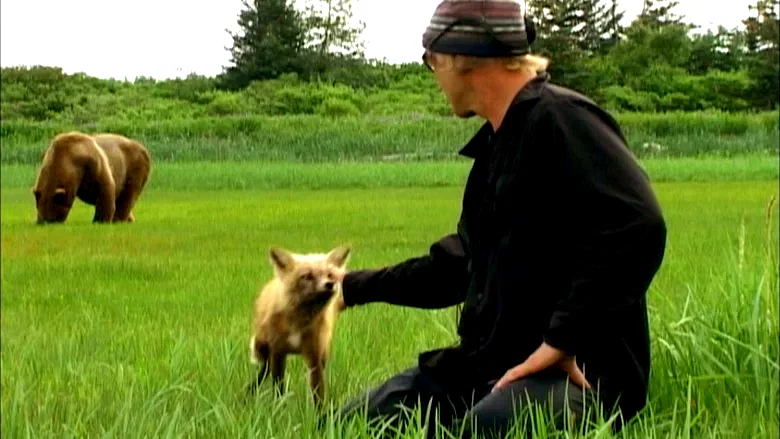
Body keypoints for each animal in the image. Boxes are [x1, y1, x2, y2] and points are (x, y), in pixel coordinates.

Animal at [247, 245, 351, 409]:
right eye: (307, 276)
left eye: (329, 275)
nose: (329, 284)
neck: (298, 323)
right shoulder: (277, 352)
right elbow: (278, 388)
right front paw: (279, 408)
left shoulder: (315, 357)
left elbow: (318, 394)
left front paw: (321, 414)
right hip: (263, 348)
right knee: (263, 371)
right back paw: (249, 391)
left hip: (323, 355)